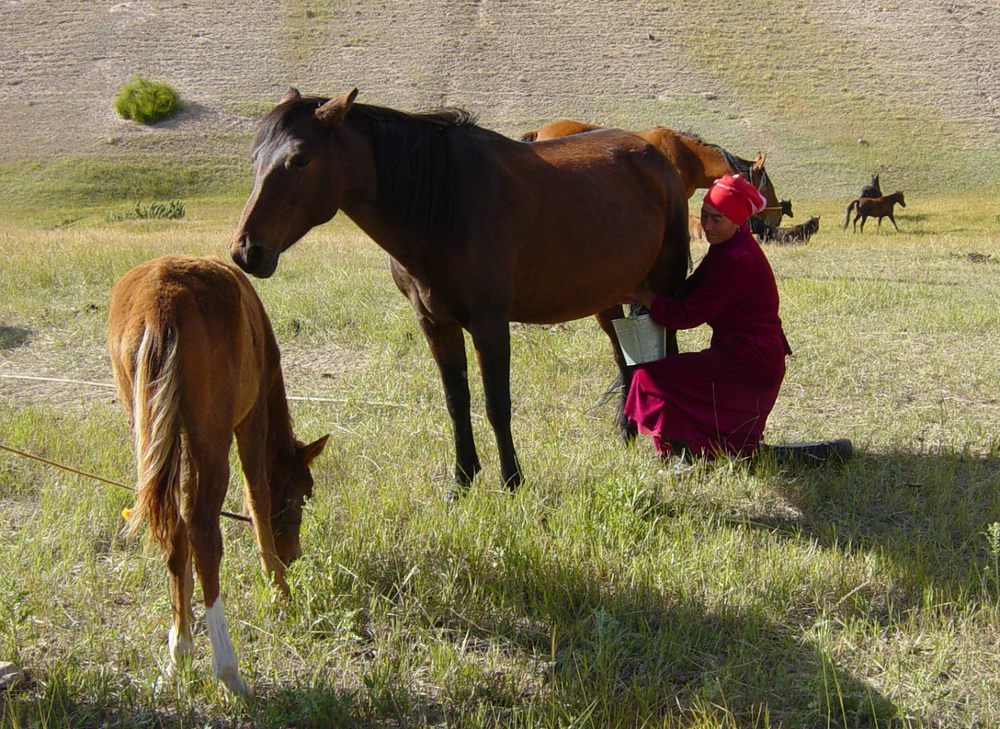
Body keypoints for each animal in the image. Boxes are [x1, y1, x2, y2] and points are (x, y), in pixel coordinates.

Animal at [109, 256, 328, 692]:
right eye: (302, 494)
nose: (292, 555)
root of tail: (160, 305)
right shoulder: (252, 416)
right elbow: (257, 493)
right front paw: (278, 586)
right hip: (210, 436)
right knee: (202, 530)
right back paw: (227, 669)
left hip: (149, 429)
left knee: (176, 529)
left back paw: (180, 652)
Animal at [230, 85, 692, 494]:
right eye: (254, 158)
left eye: (299, 159)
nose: (247, 251)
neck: (444, 204)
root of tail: (653, 155)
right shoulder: (435, 322)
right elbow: (456, 402)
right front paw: (462, 480)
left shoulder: (490, 323)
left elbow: (496, 403)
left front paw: (511, 481)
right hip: (608, 297)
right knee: (625, 360)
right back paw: (626, 434)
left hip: (664, 287)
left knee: (668, 354)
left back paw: (680, 448)